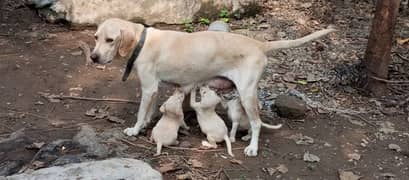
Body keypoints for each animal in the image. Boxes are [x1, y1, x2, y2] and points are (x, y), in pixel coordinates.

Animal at [90, 17, 334, 156]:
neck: (142, 41)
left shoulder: (148, 87)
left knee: (256, 123)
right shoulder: (154, 88)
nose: (93, 57)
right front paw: (146, 124)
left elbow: (141, 113)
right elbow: (149, 111)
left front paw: (134, 129)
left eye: (110, 40)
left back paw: (253, 148)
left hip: (247, 94)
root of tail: (260, 44)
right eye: (95, 37)